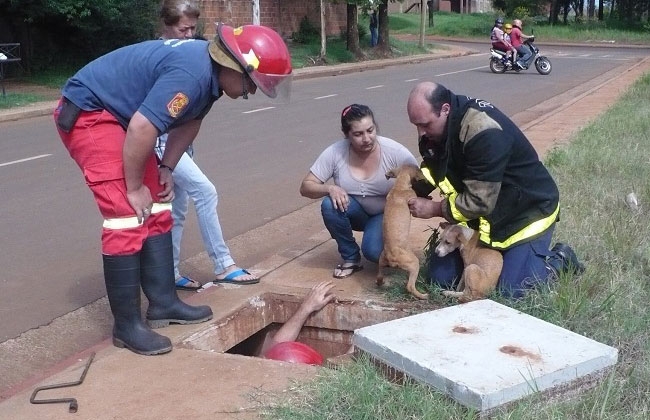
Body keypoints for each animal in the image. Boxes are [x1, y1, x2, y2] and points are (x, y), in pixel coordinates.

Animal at [372, 163, 428, 298]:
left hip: (381, 261)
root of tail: (392, 257)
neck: (399, 186)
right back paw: (422, 295)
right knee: (410, 286)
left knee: (379, 276)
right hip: (414, 263)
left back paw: (380, 282)